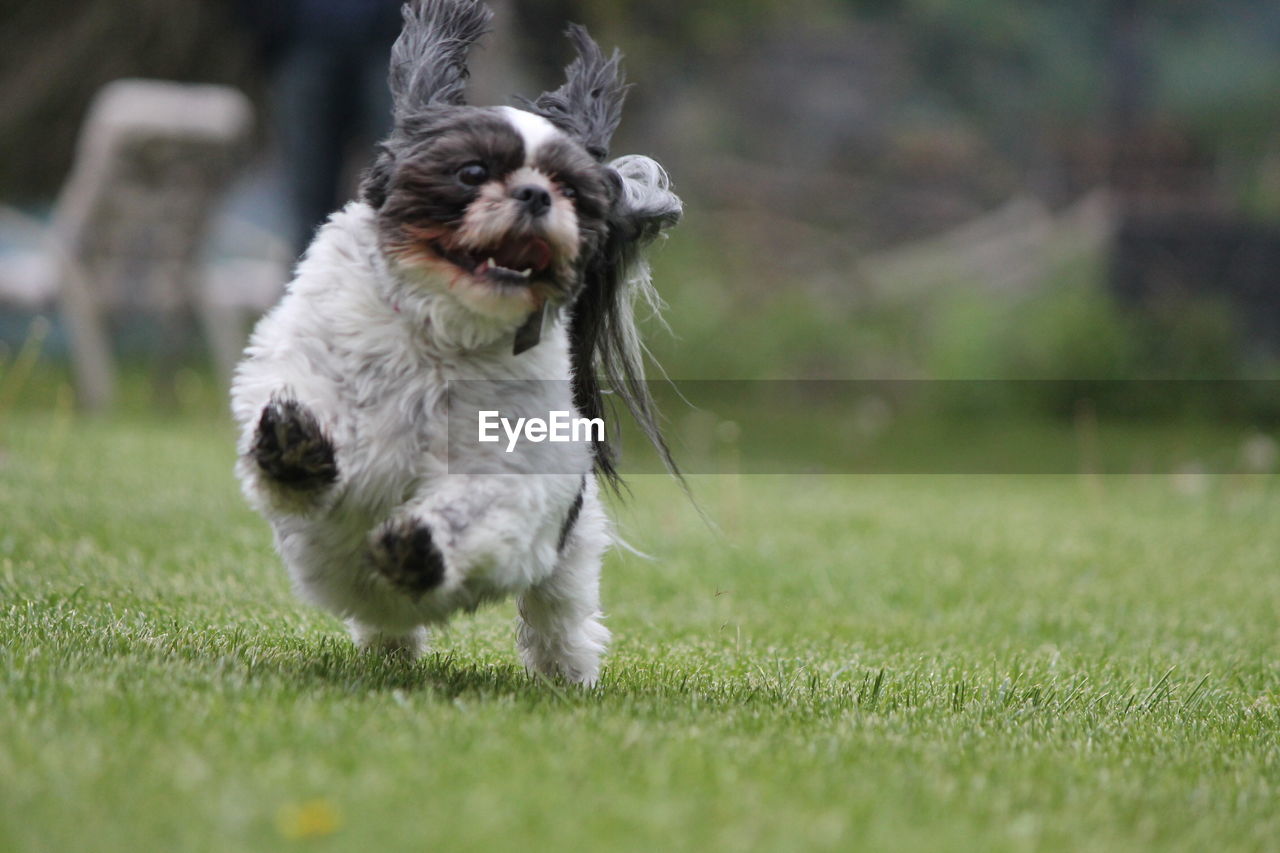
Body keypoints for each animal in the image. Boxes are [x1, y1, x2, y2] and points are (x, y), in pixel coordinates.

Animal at [235, 0, 686, 681]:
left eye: (571, 190)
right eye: (472, 172)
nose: (535, 193)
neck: (443, 331)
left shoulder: (516, 461)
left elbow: (478, 504)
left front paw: (419, 545)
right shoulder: (306, 362)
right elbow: (303, 423)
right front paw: (294, 445)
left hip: (571, 550)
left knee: (559, 614)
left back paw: (565, 671)